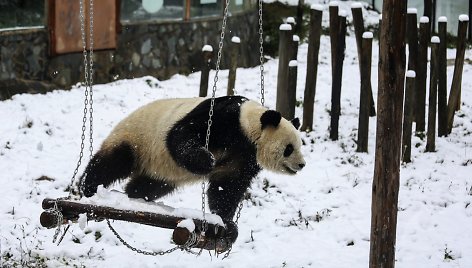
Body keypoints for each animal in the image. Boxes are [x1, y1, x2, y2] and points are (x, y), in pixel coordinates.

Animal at [80, 96, 306, 241]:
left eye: (300, 145)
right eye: (289, 148)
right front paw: (207, 161)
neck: (250, 127)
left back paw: (135, 195)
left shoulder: (245, 157)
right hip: (136, 137)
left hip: (158, 171)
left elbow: (227, 186)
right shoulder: (224, 120)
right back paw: (88, 187)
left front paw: (227, 225)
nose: (302, 164)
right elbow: (182, 135)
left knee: (151, 184)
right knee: (112, 162)